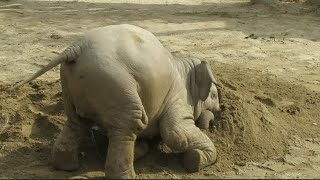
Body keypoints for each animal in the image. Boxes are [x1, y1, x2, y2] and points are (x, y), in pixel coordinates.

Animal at [10, 24, 220, 179]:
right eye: (215, 95)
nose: (214, 118)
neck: (182, 65)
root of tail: (76, 48)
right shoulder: (178, 97)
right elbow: (175, 133)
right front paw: (195, 160)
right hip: (113, 80)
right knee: (132, 123)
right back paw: (126, 176)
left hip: (74, 85)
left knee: (76, 122)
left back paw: (67, 167)